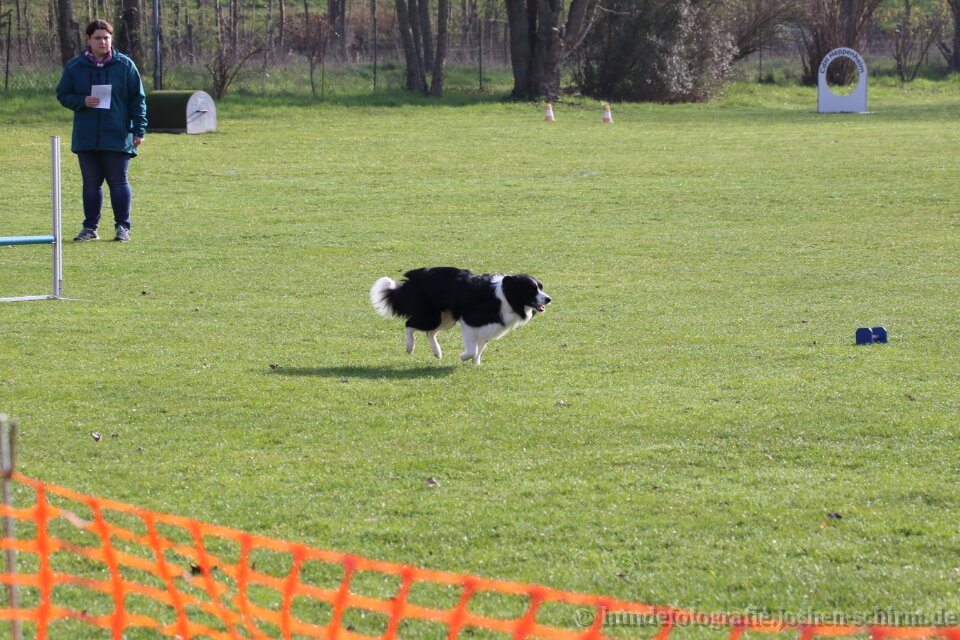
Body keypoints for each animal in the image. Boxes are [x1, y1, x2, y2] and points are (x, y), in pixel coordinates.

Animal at [370, 267, 551, 364]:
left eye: (541, 287)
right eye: (531, 289)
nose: (548, 299)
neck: (506, 296)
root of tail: (415, 276)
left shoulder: (488, 328)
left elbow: (480, 348)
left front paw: (476, 364)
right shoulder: (470, 322)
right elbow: (472, 349)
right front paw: (463, 357)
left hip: (446, 318)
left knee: (430, 332)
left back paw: (437, 352)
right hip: (432, 316)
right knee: (409, 324)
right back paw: (410, 347)